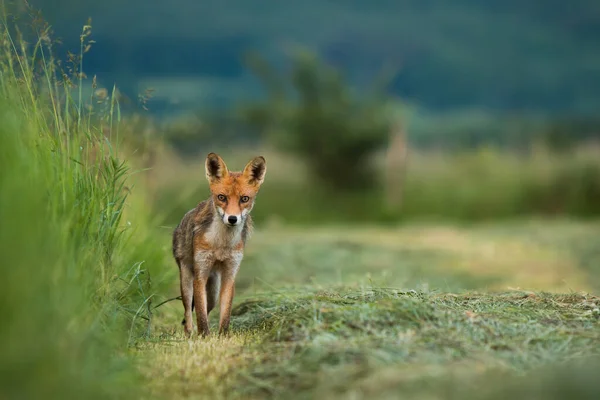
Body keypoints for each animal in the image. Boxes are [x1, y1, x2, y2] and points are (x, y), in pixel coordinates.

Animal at [173, 153, 268, 338]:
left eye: (244, 199)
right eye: (222, 197)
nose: (232, 219)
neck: (221, 245)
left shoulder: (230, 273)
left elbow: (224, 313)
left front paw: (222, 335)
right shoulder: (200, 273)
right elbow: (200, 314)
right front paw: (204, 336)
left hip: (213, 292)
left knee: (208, 309)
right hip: (187, 282)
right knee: (188, 312)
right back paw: (190, 333)